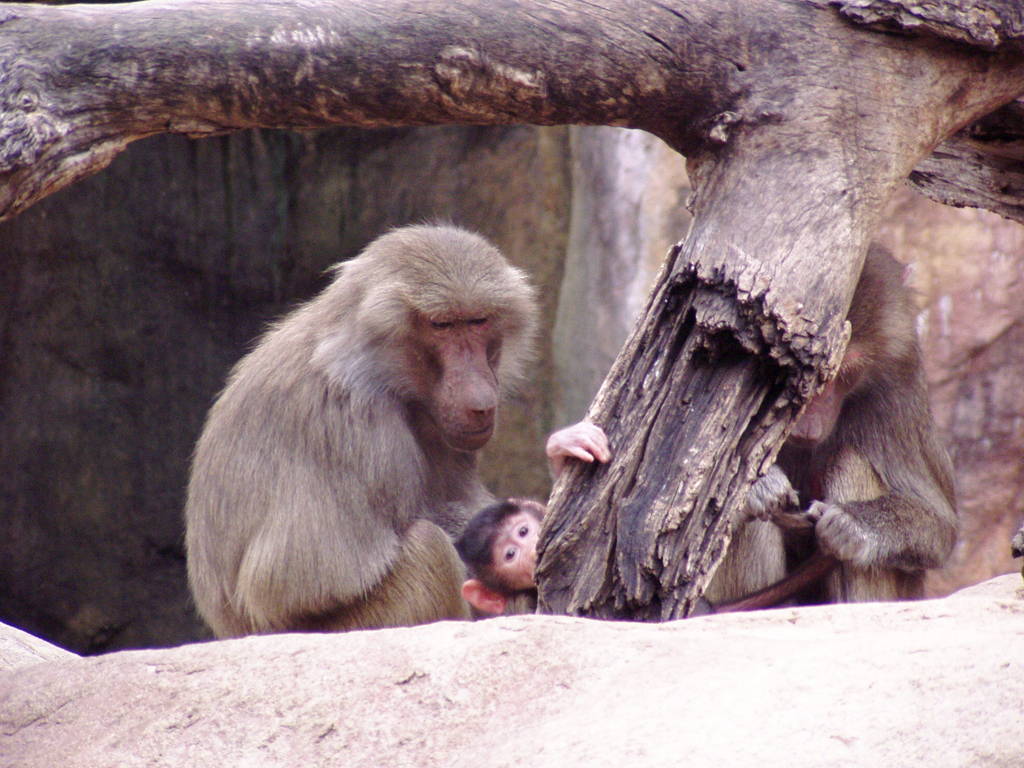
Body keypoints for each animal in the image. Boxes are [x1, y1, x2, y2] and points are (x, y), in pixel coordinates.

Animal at [185, 224, 541, 637]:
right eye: (441, 325)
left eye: (478, 321)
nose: (480, 399)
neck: (372, 364)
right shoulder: (357, 426)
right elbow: (289, 584)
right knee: (428, 548)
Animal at [705, 243, 958, 610]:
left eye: (841, 373)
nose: (809, 427)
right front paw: (761, 486)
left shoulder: (899, 385)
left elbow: (941, 527)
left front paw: (852, 526)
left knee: (849, 462)